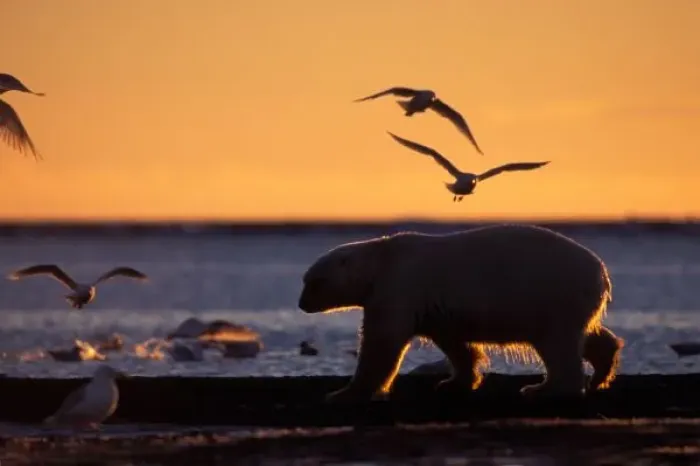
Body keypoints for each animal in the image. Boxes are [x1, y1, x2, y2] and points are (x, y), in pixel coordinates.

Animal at [297, 223, 623, 403]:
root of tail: (601, 272)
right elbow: (454, 343)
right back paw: (600, 373)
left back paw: (543, 388)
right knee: (586, 336)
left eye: (314, 281)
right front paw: (454, 382)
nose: (301, 304)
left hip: (552, 294)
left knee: (558, 345)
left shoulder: (399, 286)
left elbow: (382, 341)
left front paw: (343, 393)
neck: (380, 262)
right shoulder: (433, 307)